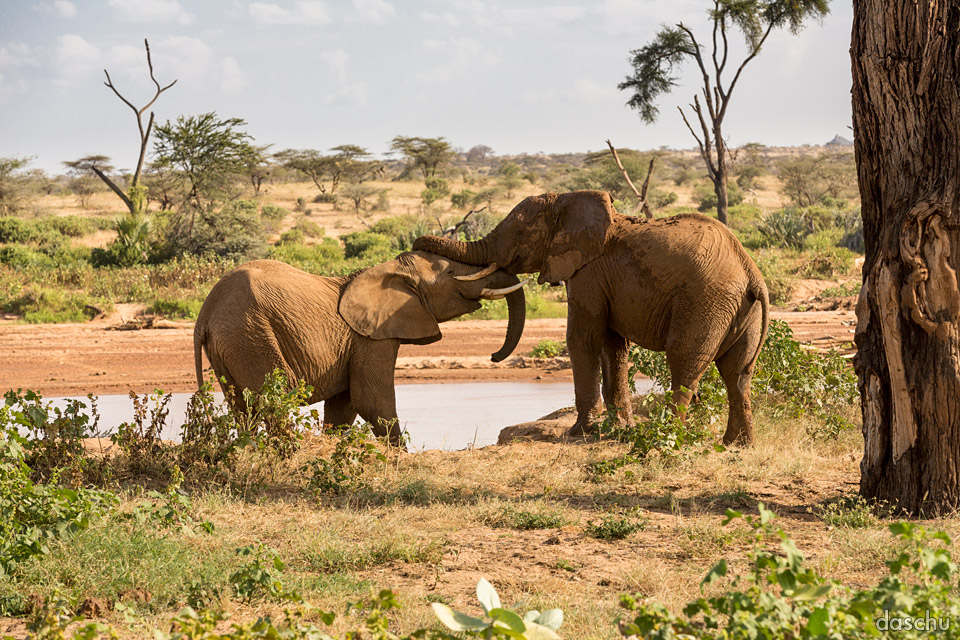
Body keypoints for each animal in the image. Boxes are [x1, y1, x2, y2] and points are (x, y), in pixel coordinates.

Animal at [193, 252, 524, 448]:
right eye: (452, 271)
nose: (494, 356)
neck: (390, 271)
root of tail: (205, 313)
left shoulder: (354, 342)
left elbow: (344, 406)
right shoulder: (370, 337)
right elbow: (371, 401)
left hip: (231, 345)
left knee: (242, 407)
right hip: (251, 335)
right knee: (274, 400)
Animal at [414, 189, 772, 444]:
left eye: (518, 234)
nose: (491, 357)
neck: (568, 200)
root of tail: (752, 273)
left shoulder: (588, 273)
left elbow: (581, 339)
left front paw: (580, 432)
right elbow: (614, 346)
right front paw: (620, 428)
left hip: (705, 301)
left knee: (684, 362)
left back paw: (668, 438)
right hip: (742, 310)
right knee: (737, 374)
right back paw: (736, 445)